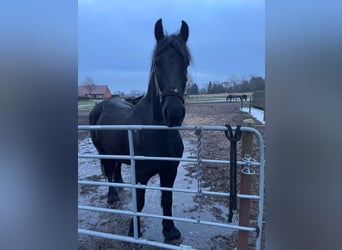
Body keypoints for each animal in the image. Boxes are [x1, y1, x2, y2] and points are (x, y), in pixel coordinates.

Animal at [89, 18, 190, 241]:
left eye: (186, 63)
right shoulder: (141, 174)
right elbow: (140, 202)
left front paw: (170, 230)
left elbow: (167, 200)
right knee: (108, 171)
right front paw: (132, 231)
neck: (157, 132)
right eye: (157, 63)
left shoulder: (170, 171)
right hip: (103, 152)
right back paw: (112, 196)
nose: (174, 113)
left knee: (116, 168)